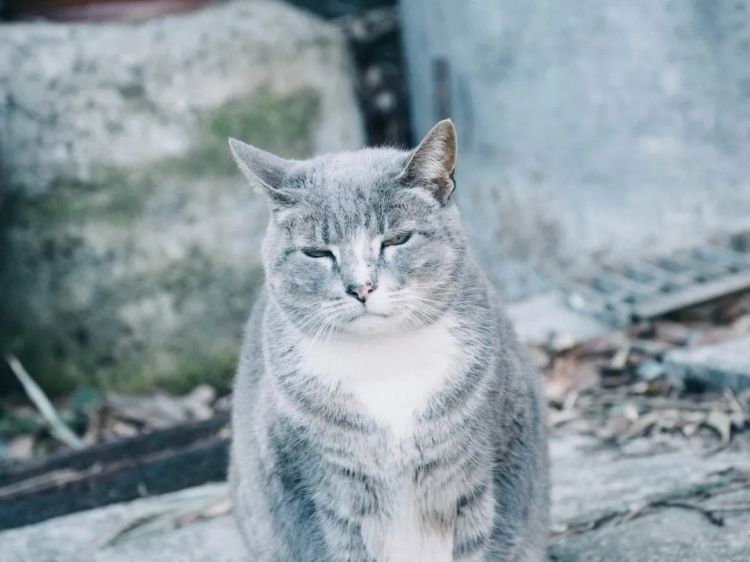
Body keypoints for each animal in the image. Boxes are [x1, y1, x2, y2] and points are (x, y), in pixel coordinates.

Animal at [226, 119, 548, 560]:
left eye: (396, 240)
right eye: (317, 253)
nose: (361, 287)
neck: (384, 364)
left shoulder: (480, 478)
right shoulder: (322, 496)